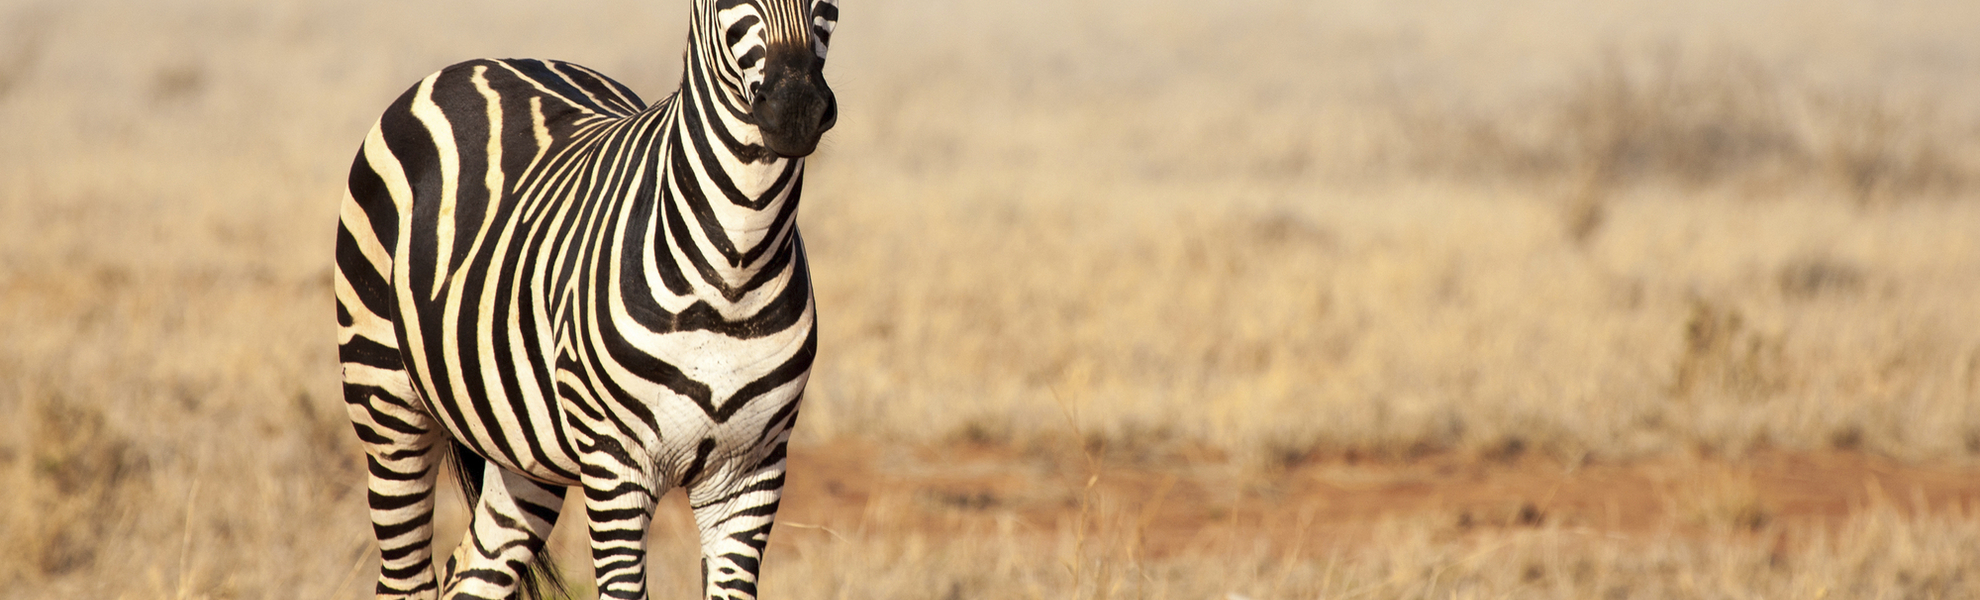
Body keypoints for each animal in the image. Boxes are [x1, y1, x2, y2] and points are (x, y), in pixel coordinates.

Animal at [334, 0, 838, 598]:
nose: (796, 110)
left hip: (522, 451)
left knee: (473, 572)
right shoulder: (615, 468)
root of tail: (491, 61)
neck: (735, 267)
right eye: (720, 4)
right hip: (385, 399)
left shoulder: (752, 474)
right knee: (406, 576)